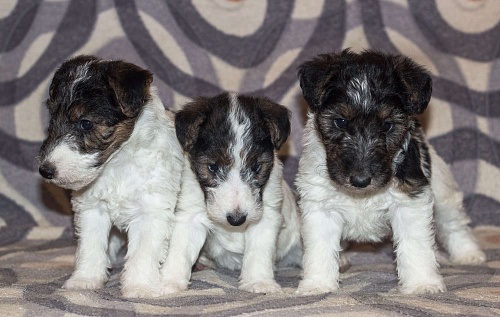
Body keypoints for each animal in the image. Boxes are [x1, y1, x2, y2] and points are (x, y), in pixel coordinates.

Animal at [38, 56, 184, 296]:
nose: (46, 170)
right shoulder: (91, 209)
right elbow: (91, 247)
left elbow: (143, 252)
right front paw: (85, 279)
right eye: (52, 118)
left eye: (86, 123)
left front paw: (140, 286)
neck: (117, 162)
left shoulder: (151, 212)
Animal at [160, 92, 300, 294]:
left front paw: (259, 281)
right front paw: (169, 282)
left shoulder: (267, 215)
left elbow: (259, 251)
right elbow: (180, 249)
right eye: (212, 166)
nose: (236, 220)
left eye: (256, 167)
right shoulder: (190, 215)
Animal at [294, 49, 486, 294]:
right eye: (340, 121)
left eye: (387, 125)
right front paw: (317, 285)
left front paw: (422, 283)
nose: (360, 180)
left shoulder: (410, 201)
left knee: (454, 224)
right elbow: (319, 249)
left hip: (443, 191)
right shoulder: (320, 207)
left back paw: (468, 254)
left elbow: (415, 246)